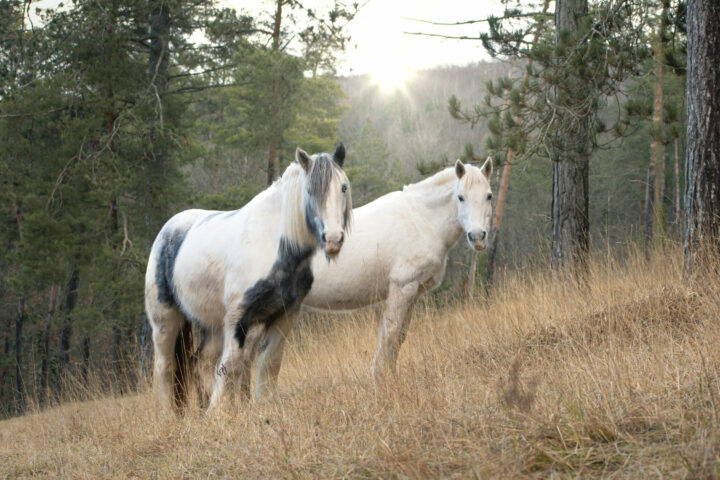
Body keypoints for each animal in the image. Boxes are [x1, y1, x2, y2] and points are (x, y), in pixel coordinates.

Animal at [144, 144, 352, 410]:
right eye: (309, 191)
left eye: (343, 187)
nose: (333, 239)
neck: (272, 244)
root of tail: (167, 229)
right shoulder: (238, 317)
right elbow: (230, 367)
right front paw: (218, 414)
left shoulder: (284, 315)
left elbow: (268, 363)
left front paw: (263, 407)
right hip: (165, 321)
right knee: (165, 368)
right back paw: (168, 414)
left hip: (214, 326)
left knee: (201, 362)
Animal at [250, 158, 492, 390]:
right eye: (460, 197)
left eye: (489, 196)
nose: (477, 236)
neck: (420, 219)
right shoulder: (402, 288)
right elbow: (390, 335)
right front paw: (382, 380)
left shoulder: (412, 293)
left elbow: (400, 336)